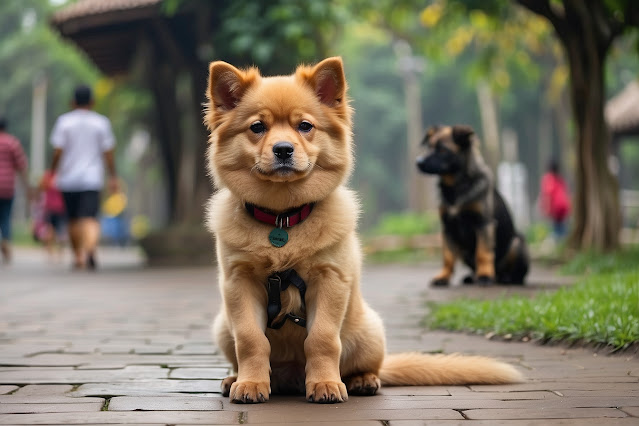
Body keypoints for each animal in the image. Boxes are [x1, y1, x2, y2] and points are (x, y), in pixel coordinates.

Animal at [418, 125, 528, 286]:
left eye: (443, 149)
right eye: (429, 147)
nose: (418, 162)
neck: (455, 187)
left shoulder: (483, 223)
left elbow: (483, 253)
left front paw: (485, 276)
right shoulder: (447, 228)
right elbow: (448, 256)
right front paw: (443, 277)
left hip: (517, 243)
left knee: (517, 275)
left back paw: (505, 278)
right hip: (463, 251)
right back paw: (471, 277)